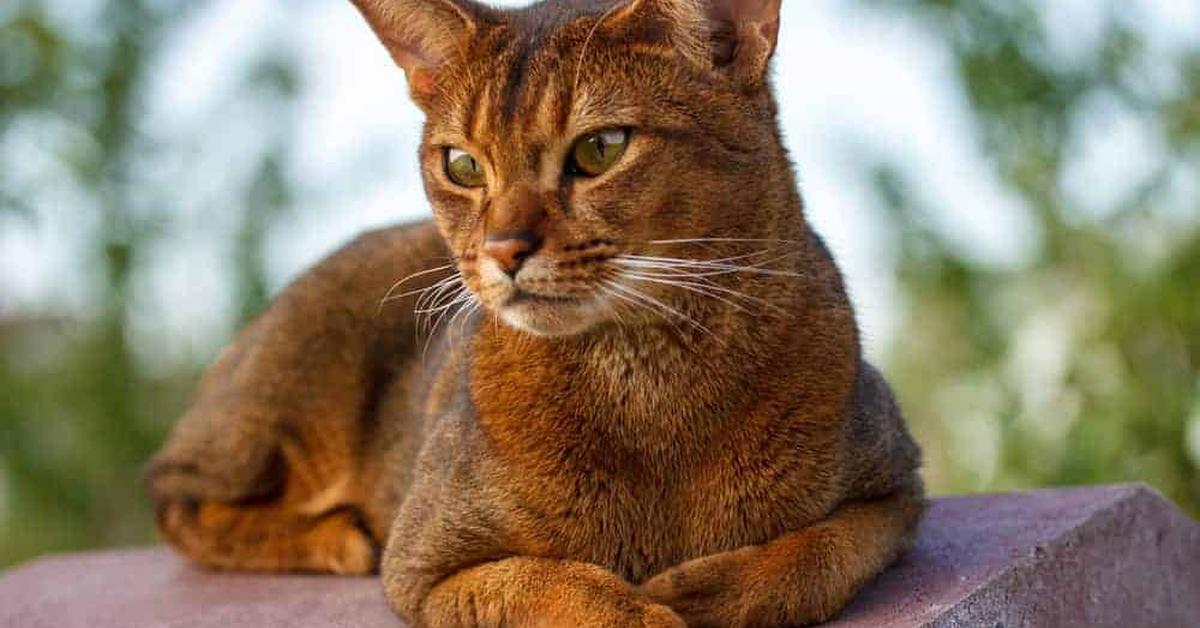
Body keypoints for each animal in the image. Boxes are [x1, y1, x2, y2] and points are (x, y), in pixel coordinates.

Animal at [145, 0, 921, 624]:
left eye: (601, 148)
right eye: (461, 165)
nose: (502, 249)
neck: (649, 385)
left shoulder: (897, 486)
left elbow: (818, 554)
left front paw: (709, 592)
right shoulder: (424, 564)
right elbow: (552, 587)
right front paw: (646, 613)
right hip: (280, 404)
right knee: (172, 495)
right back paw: (335, 535)